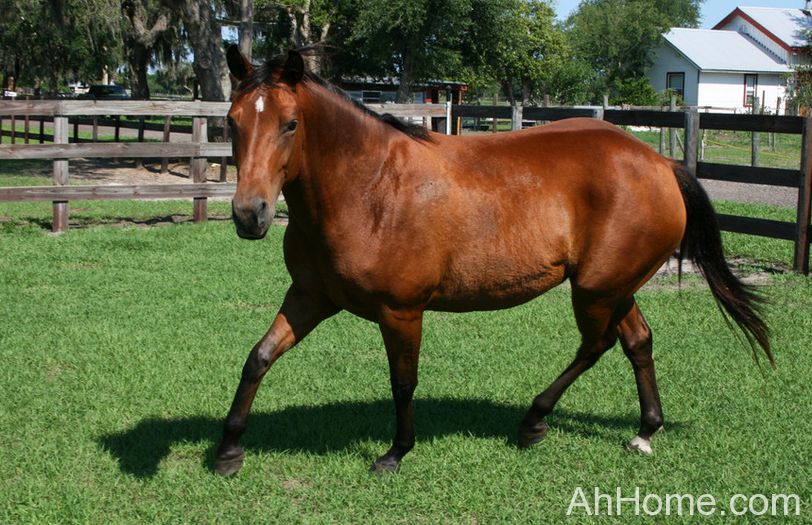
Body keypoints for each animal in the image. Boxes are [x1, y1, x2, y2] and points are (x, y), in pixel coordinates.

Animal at [214, 46, 772, 476]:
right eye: (232, 121)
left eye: (290, 124)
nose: (248, 214)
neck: (370, 188)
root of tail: (660, 161)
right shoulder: (310, 296)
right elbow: (258, 357)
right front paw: (228, 448)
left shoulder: (401, 311)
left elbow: (403, 381)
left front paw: (396, 453)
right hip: (615, 287)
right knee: (637, 341)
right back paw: (645, 430)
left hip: (596, 290)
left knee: (597, 345)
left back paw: (533, 421)